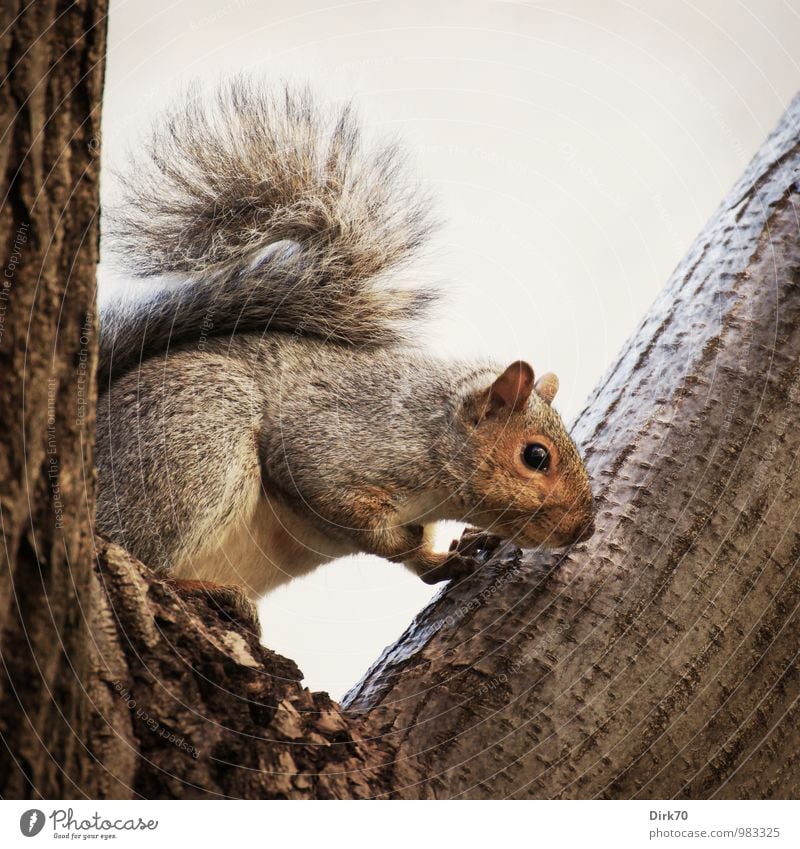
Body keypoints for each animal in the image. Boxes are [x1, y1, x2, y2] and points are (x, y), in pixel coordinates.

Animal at [94, 78, 592, 596]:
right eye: (536, 456)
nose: (585, 528)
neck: (430, 429)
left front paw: (452, 552)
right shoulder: (330, 449)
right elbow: (348, 513)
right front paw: (413, 545)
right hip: (198, 433)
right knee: (144, 552)